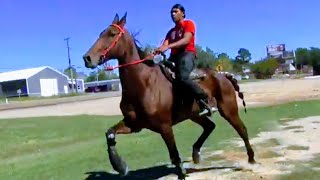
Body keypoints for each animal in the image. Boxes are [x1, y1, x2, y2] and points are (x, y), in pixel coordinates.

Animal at [82, 12, 255, 179]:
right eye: (101, 33)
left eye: (112, 34)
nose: (87, 58)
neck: (144, 84)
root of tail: (223, 75)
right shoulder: (134, 124)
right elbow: (110, 134)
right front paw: (120, 166)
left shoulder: (165, 127)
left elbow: (175, 155)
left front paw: (181, 172)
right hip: (194, 115)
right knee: (210, 126)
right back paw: (196, 153)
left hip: (229, 110)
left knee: (242, 130)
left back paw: (251, 158)